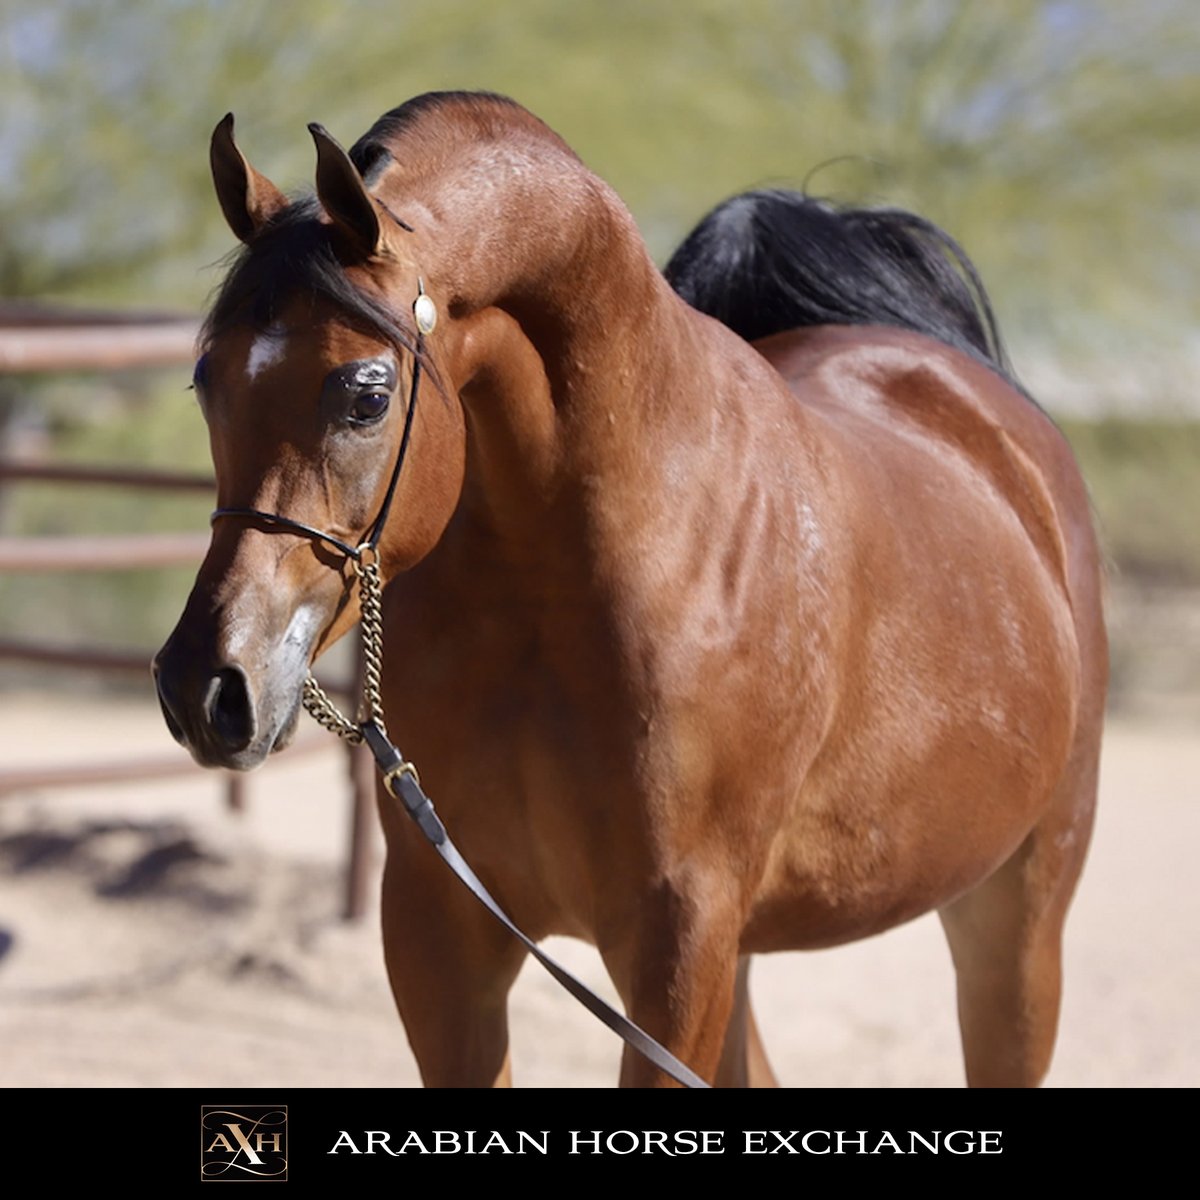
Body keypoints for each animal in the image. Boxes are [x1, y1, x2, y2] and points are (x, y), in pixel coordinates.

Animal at [153, 90, 1108, 1088]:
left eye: (366, 395)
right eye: (206, 379)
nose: (204, 687)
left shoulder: (678, 941)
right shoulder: (439, 931)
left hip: (1018, 912)